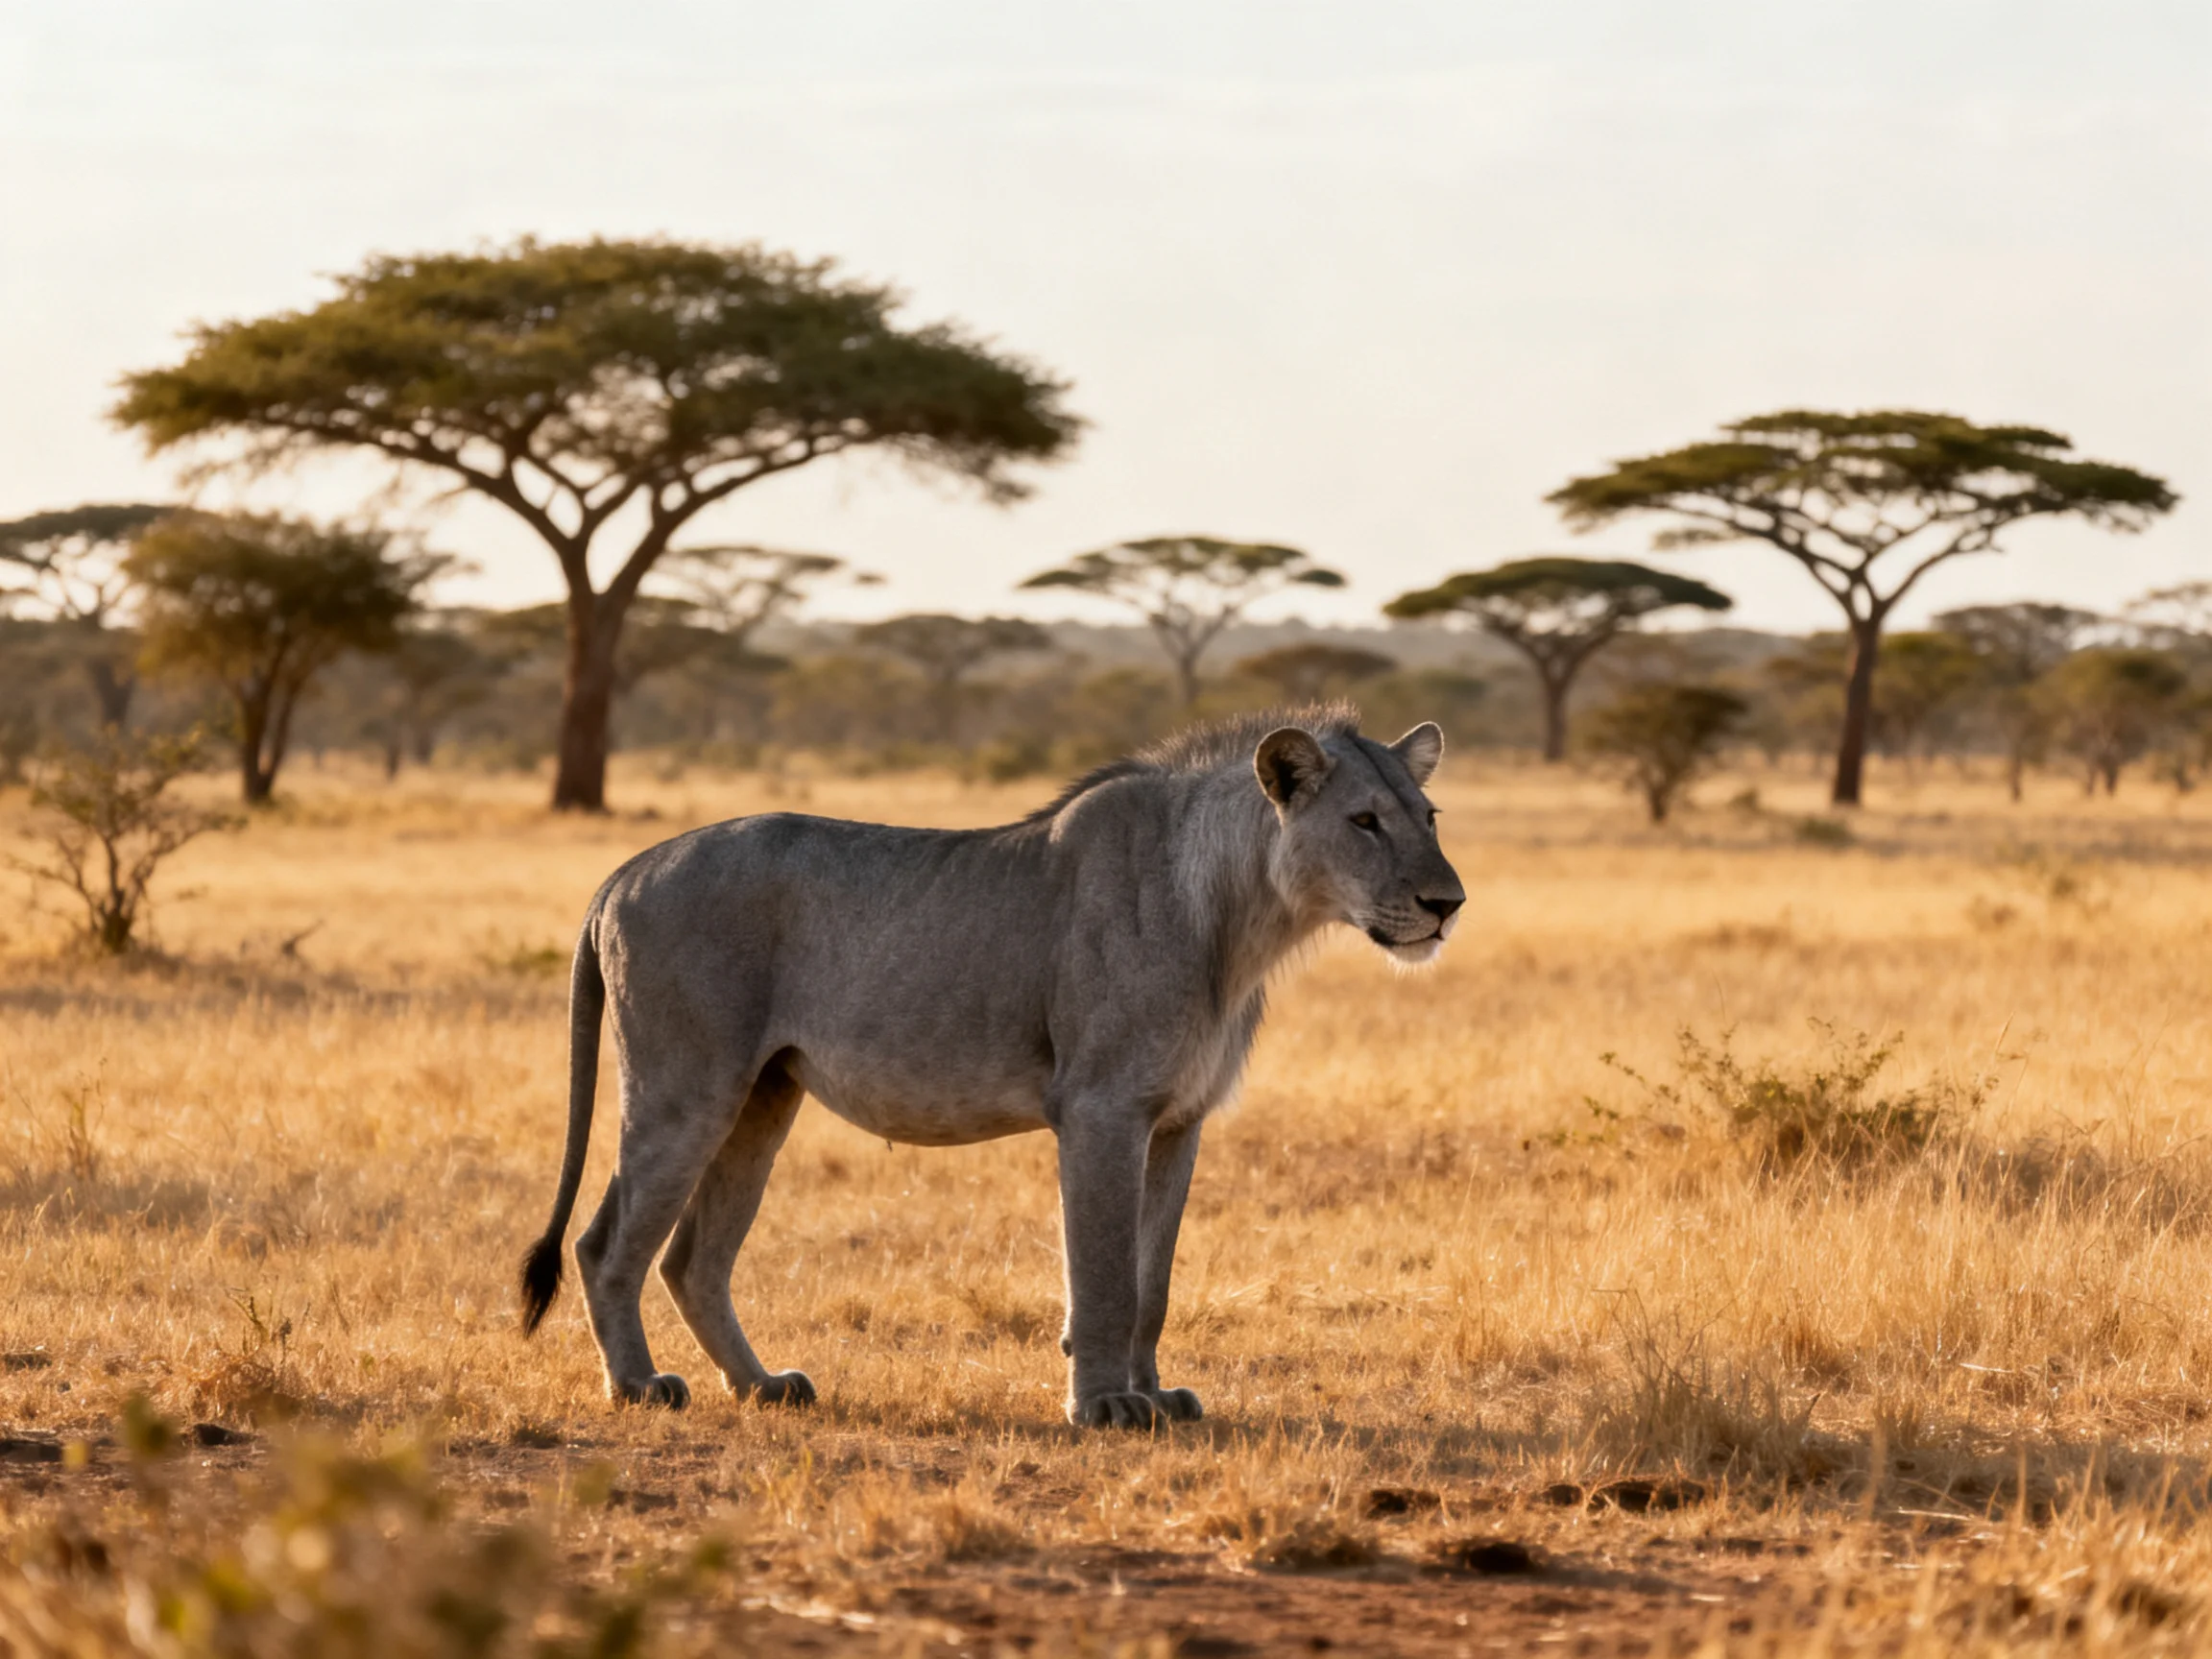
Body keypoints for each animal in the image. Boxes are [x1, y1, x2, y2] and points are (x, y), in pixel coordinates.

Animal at [518, 709, 1464, 1428]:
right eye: (1364, 821)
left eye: (1428, 816)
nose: (1447, 904)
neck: (1242, 919)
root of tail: (624, 871)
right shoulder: (1100, 1108)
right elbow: (1104, 1271)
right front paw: (1102, 1406)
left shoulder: (1177, 1119)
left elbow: (1151, 1279)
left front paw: (1154, 1396)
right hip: (686, 1089)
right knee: (606, 1243)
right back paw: (640, 1387)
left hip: (763, 1097)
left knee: (693, 1259)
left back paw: (762, 1386)